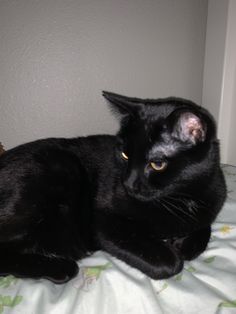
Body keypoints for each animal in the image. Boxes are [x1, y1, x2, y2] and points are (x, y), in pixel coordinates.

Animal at [0, 92, 226, 284]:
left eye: (157, 164)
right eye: (125, 155)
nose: (128, 184)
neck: (180, 197)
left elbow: (204, 227)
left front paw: (187, 244)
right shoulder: (104, 222)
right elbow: (171, 263)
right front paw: (174, 251)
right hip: (58, 169)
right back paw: (61, 268)